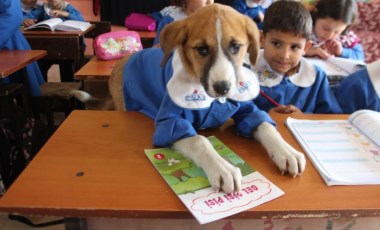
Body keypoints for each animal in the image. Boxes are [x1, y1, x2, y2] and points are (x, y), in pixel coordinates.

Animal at [74, 4, 306, 194]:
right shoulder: (170, 122)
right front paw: (222, 166)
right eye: (201, 49)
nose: (223, 88)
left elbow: (265, 125)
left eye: (235, 46)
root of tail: (125, 59)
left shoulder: (246, 108)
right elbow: (199, 140)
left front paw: (286, 151)